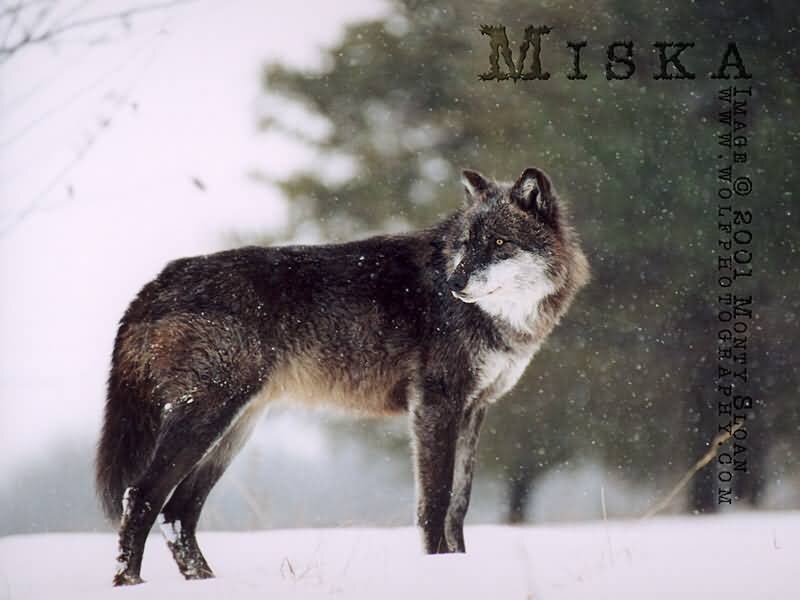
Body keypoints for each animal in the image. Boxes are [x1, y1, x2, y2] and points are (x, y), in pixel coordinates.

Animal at [96, 166, 589, 585]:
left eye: (501, 243)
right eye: (467, 243)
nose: (455, 284)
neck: (499, 318)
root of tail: (157, 281)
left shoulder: (474, 409)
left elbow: (459, 506)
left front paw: (458, 568)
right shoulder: (435, 407)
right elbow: (434, 503)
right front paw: (435, 572)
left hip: (233, 429)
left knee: (179, 513)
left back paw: (207, 583)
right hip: (209, 418)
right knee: (141, 497)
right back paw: (130, 583)